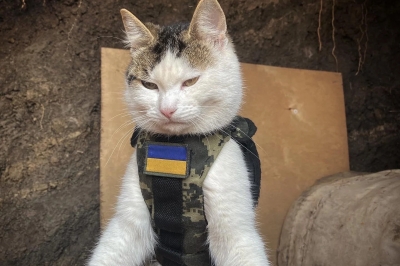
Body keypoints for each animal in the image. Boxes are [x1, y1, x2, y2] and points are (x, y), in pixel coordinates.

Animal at [89, 0, 270, 266]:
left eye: (191, 81)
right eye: (149, 85)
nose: (167, 109)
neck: (177, 145)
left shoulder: (234, 229)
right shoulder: (129, 220)